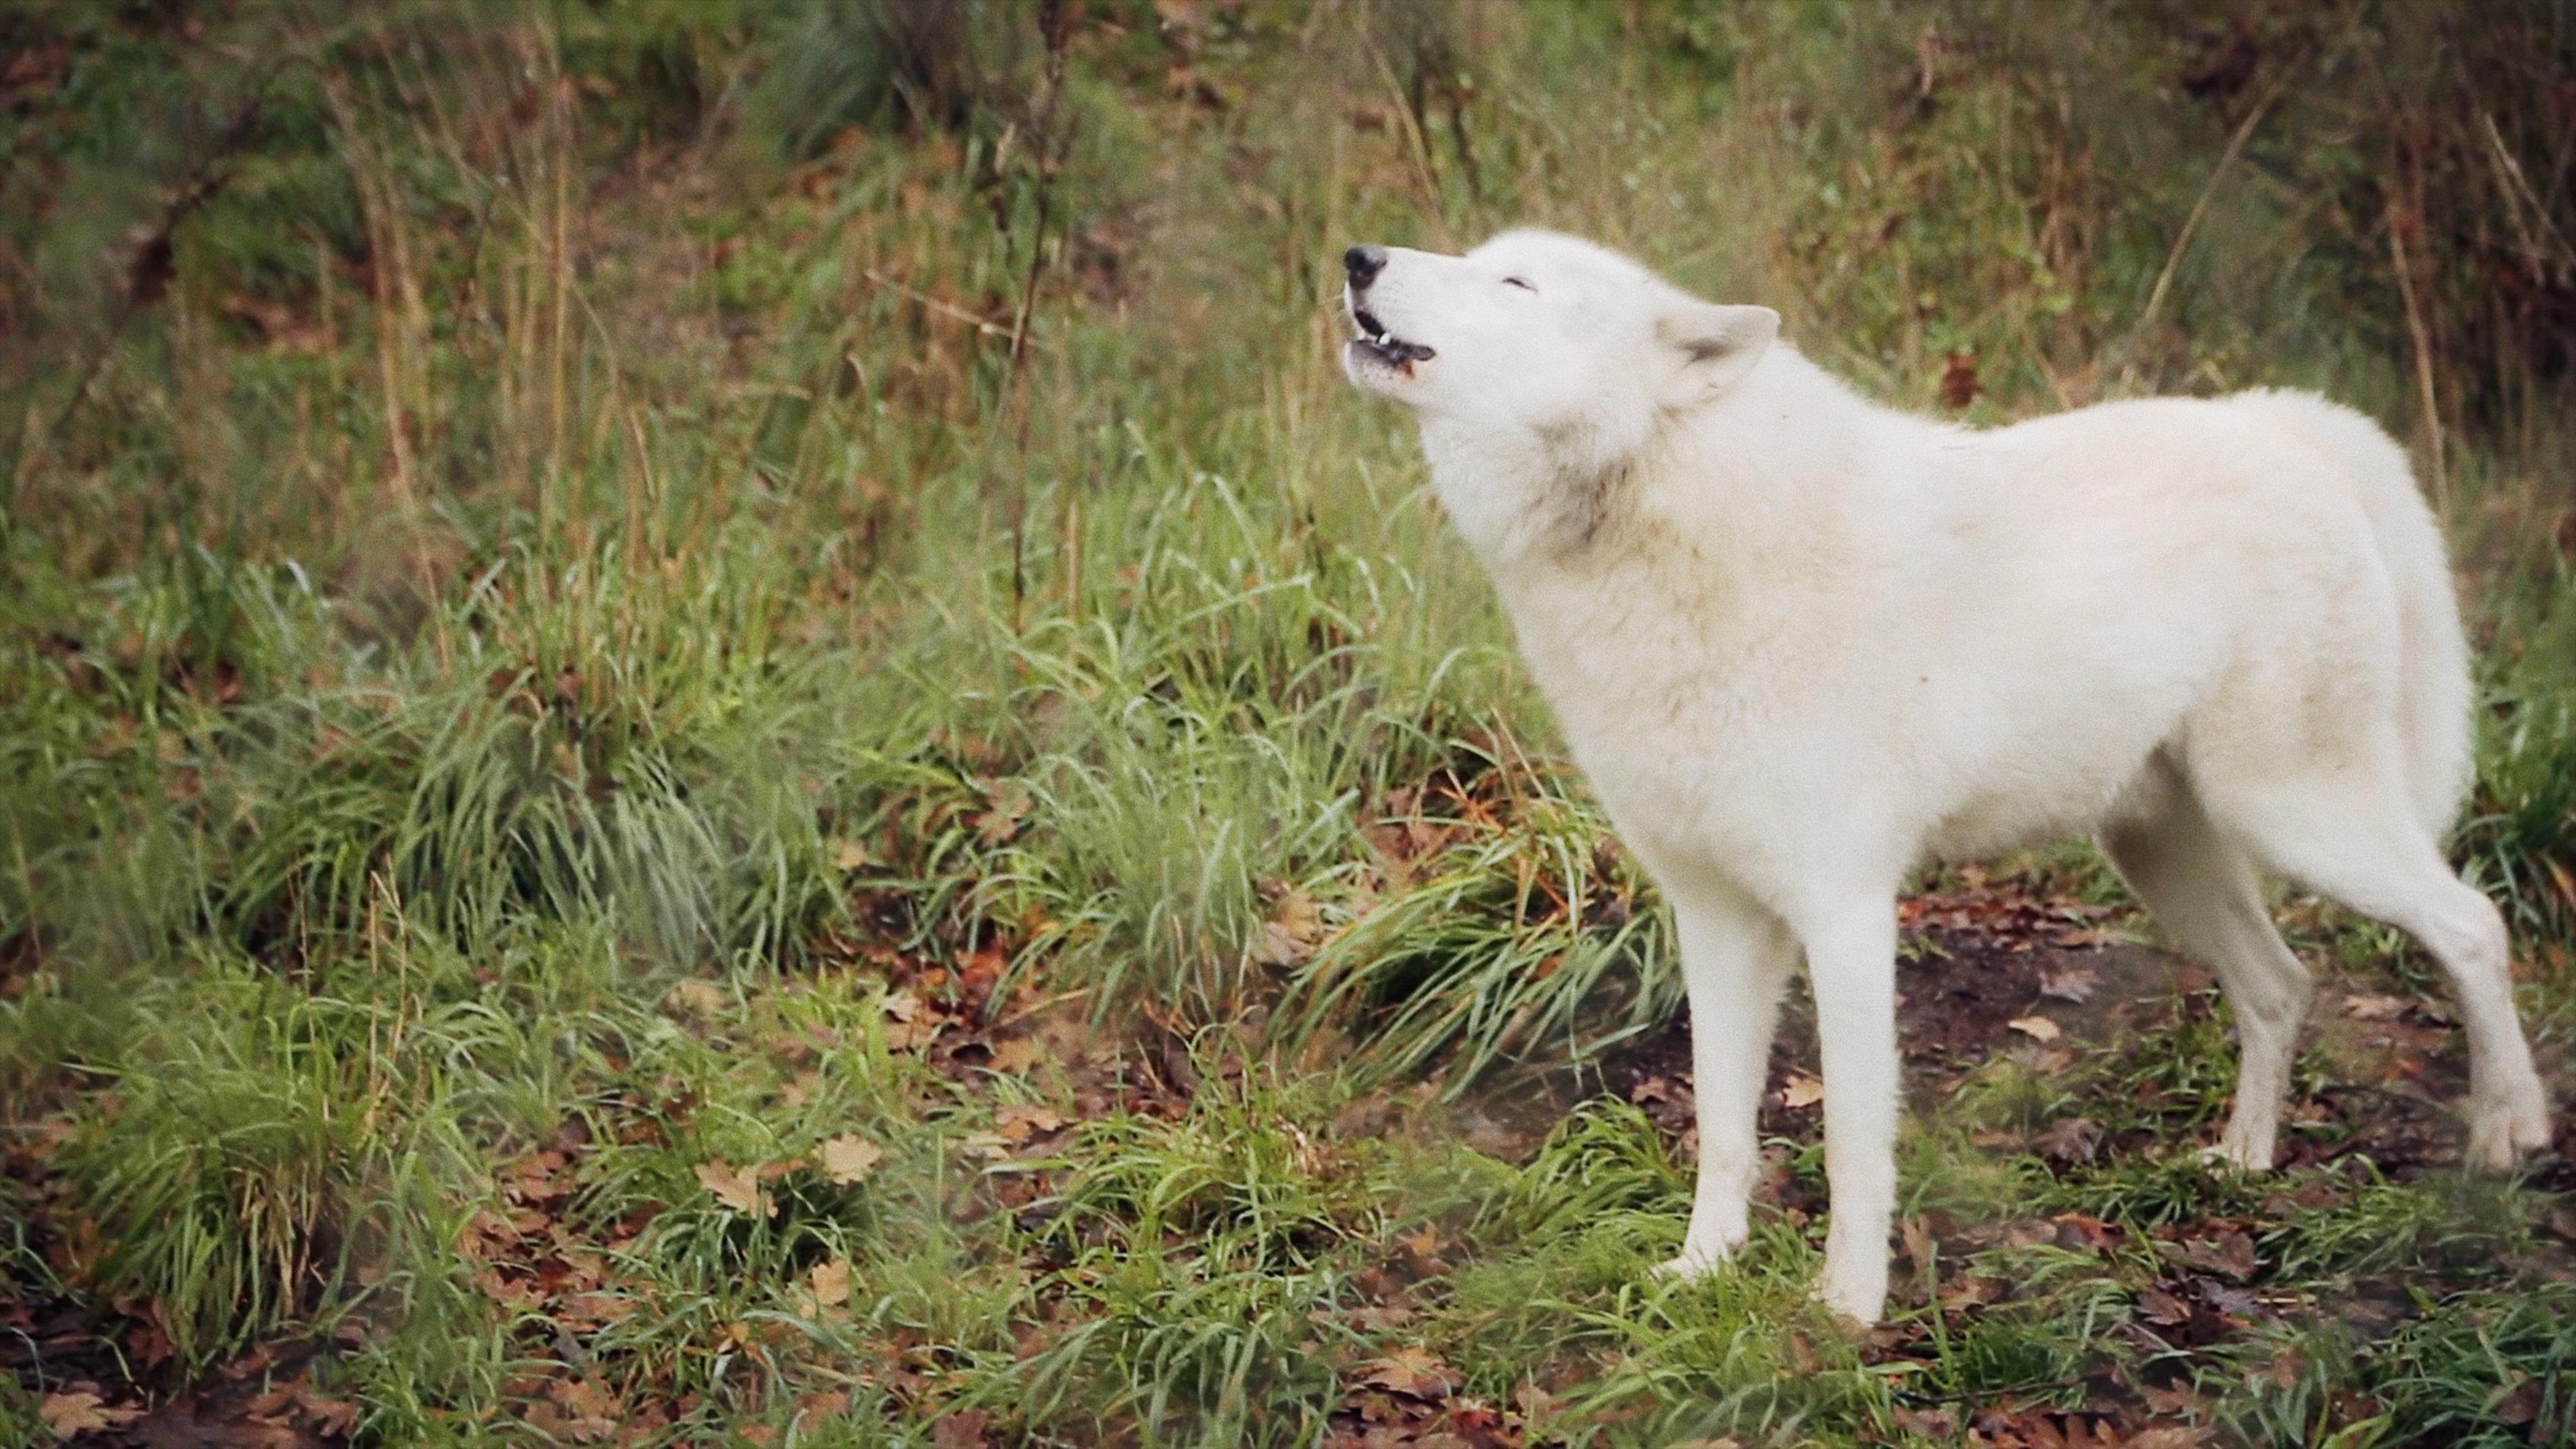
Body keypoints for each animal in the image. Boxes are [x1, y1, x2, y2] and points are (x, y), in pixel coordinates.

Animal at [1338, 228, 2551, 1325]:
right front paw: (1701, 1276)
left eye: (1514, 281)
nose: (1358, 260)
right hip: (2167, 858)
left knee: (2472, 924)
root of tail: (2288, 424)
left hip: (2303, 820)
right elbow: (1723, 1128)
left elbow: (1849, 1141)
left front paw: (1846, 1311)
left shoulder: (1845, 911)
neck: (1662, 529)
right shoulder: (1715, 916)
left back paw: (2509, 1132)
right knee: (2283, 985)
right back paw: (2243, 1159)